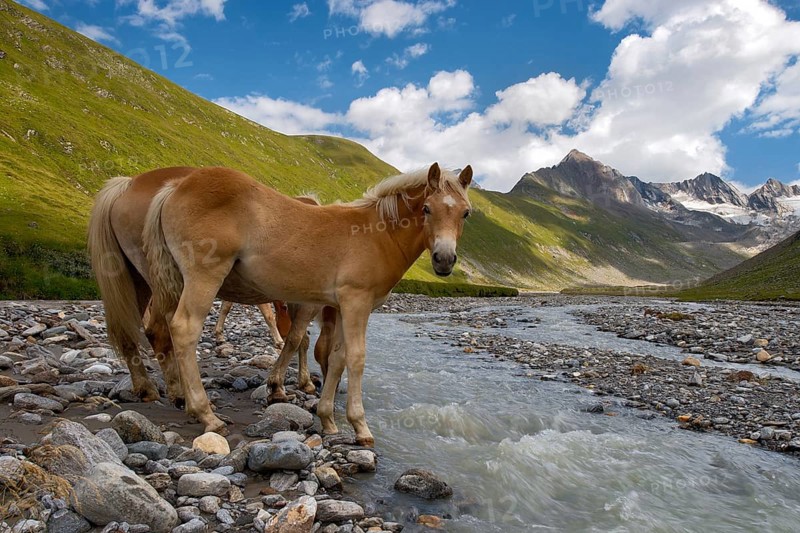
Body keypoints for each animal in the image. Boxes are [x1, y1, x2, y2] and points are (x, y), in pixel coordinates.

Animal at [88, 163, 472, 446]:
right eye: (426, 208)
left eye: (466, 213)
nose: (444, 260)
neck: (374, 234)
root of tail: (173, 187)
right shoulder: (355, 303)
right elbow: (353, 358)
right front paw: (359, 427)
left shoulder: (337, 306)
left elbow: (335, 357)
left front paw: (328, 419)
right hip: (201, 276)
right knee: (181, 328)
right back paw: (205, 413)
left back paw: (174, 397)